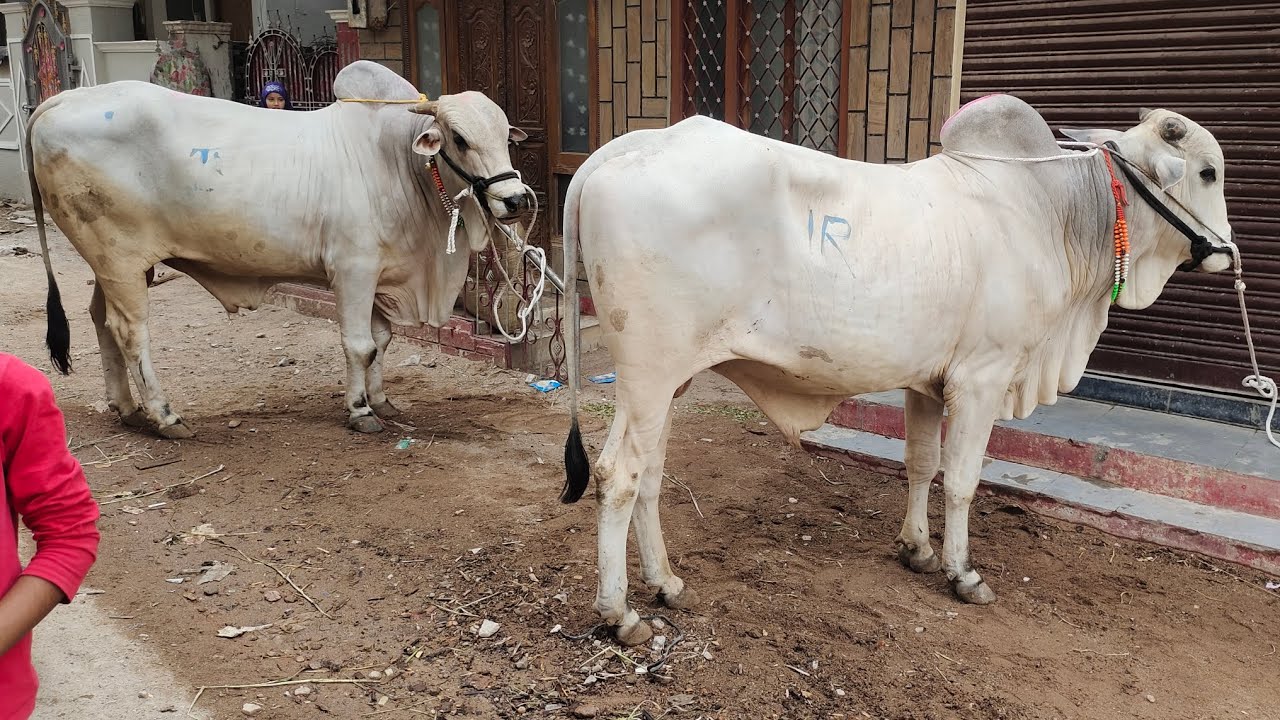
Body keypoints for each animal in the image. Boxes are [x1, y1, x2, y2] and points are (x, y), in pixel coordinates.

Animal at [27, 61, 530, 437]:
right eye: (460, 138)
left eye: (506, 135)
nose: (517, 200)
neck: (395, 158)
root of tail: (62, 99)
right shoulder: (353, 269)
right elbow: (360, 345)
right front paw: (360, 410)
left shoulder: (378, 273)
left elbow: (382, 340)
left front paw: (382, 400)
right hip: (120, 260)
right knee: (130, 332)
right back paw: (166, 417)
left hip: (113, 264)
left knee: (100, 321)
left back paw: (126, 408)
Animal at [556, 94, 1235, 645]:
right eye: (1207, 172)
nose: (1227, 252)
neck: (1049, 211)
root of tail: (621, 149)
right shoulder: (982, 379)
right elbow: (962, 480)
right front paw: (964, 572)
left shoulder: (928, 382)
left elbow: (921, 464)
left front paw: (918, 549)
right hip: (648, 373)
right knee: (618, 474)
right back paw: (621, 614)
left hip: (670, 380)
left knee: (650, 474)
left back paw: (666, 583)